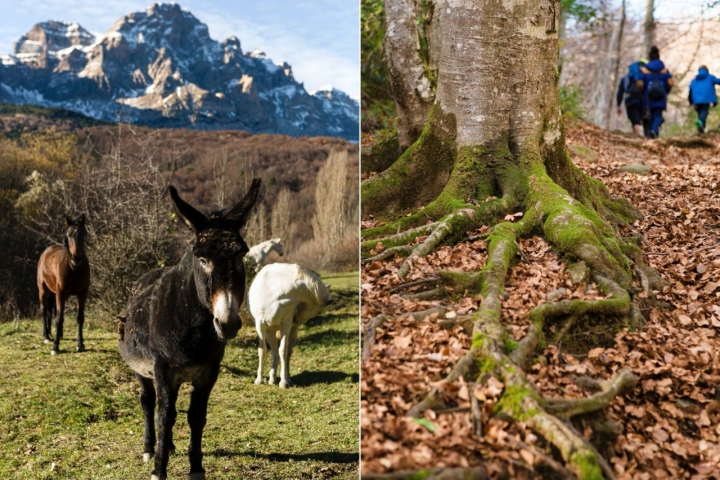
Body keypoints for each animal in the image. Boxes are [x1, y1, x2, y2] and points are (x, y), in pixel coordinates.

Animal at [37, 216, 90, 354]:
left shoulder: (82, 294)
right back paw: (46, 336)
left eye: (83, 234)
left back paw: (58, 334)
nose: (76, 259)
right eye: (69, 234)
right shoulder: (60, 293)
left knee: (53, 310)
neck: (74, 269)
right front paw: (55, 347)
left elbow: (79, 317)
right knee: (44, 309)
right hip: (43, 290)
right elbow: (58, 318)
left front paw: (80, 344)